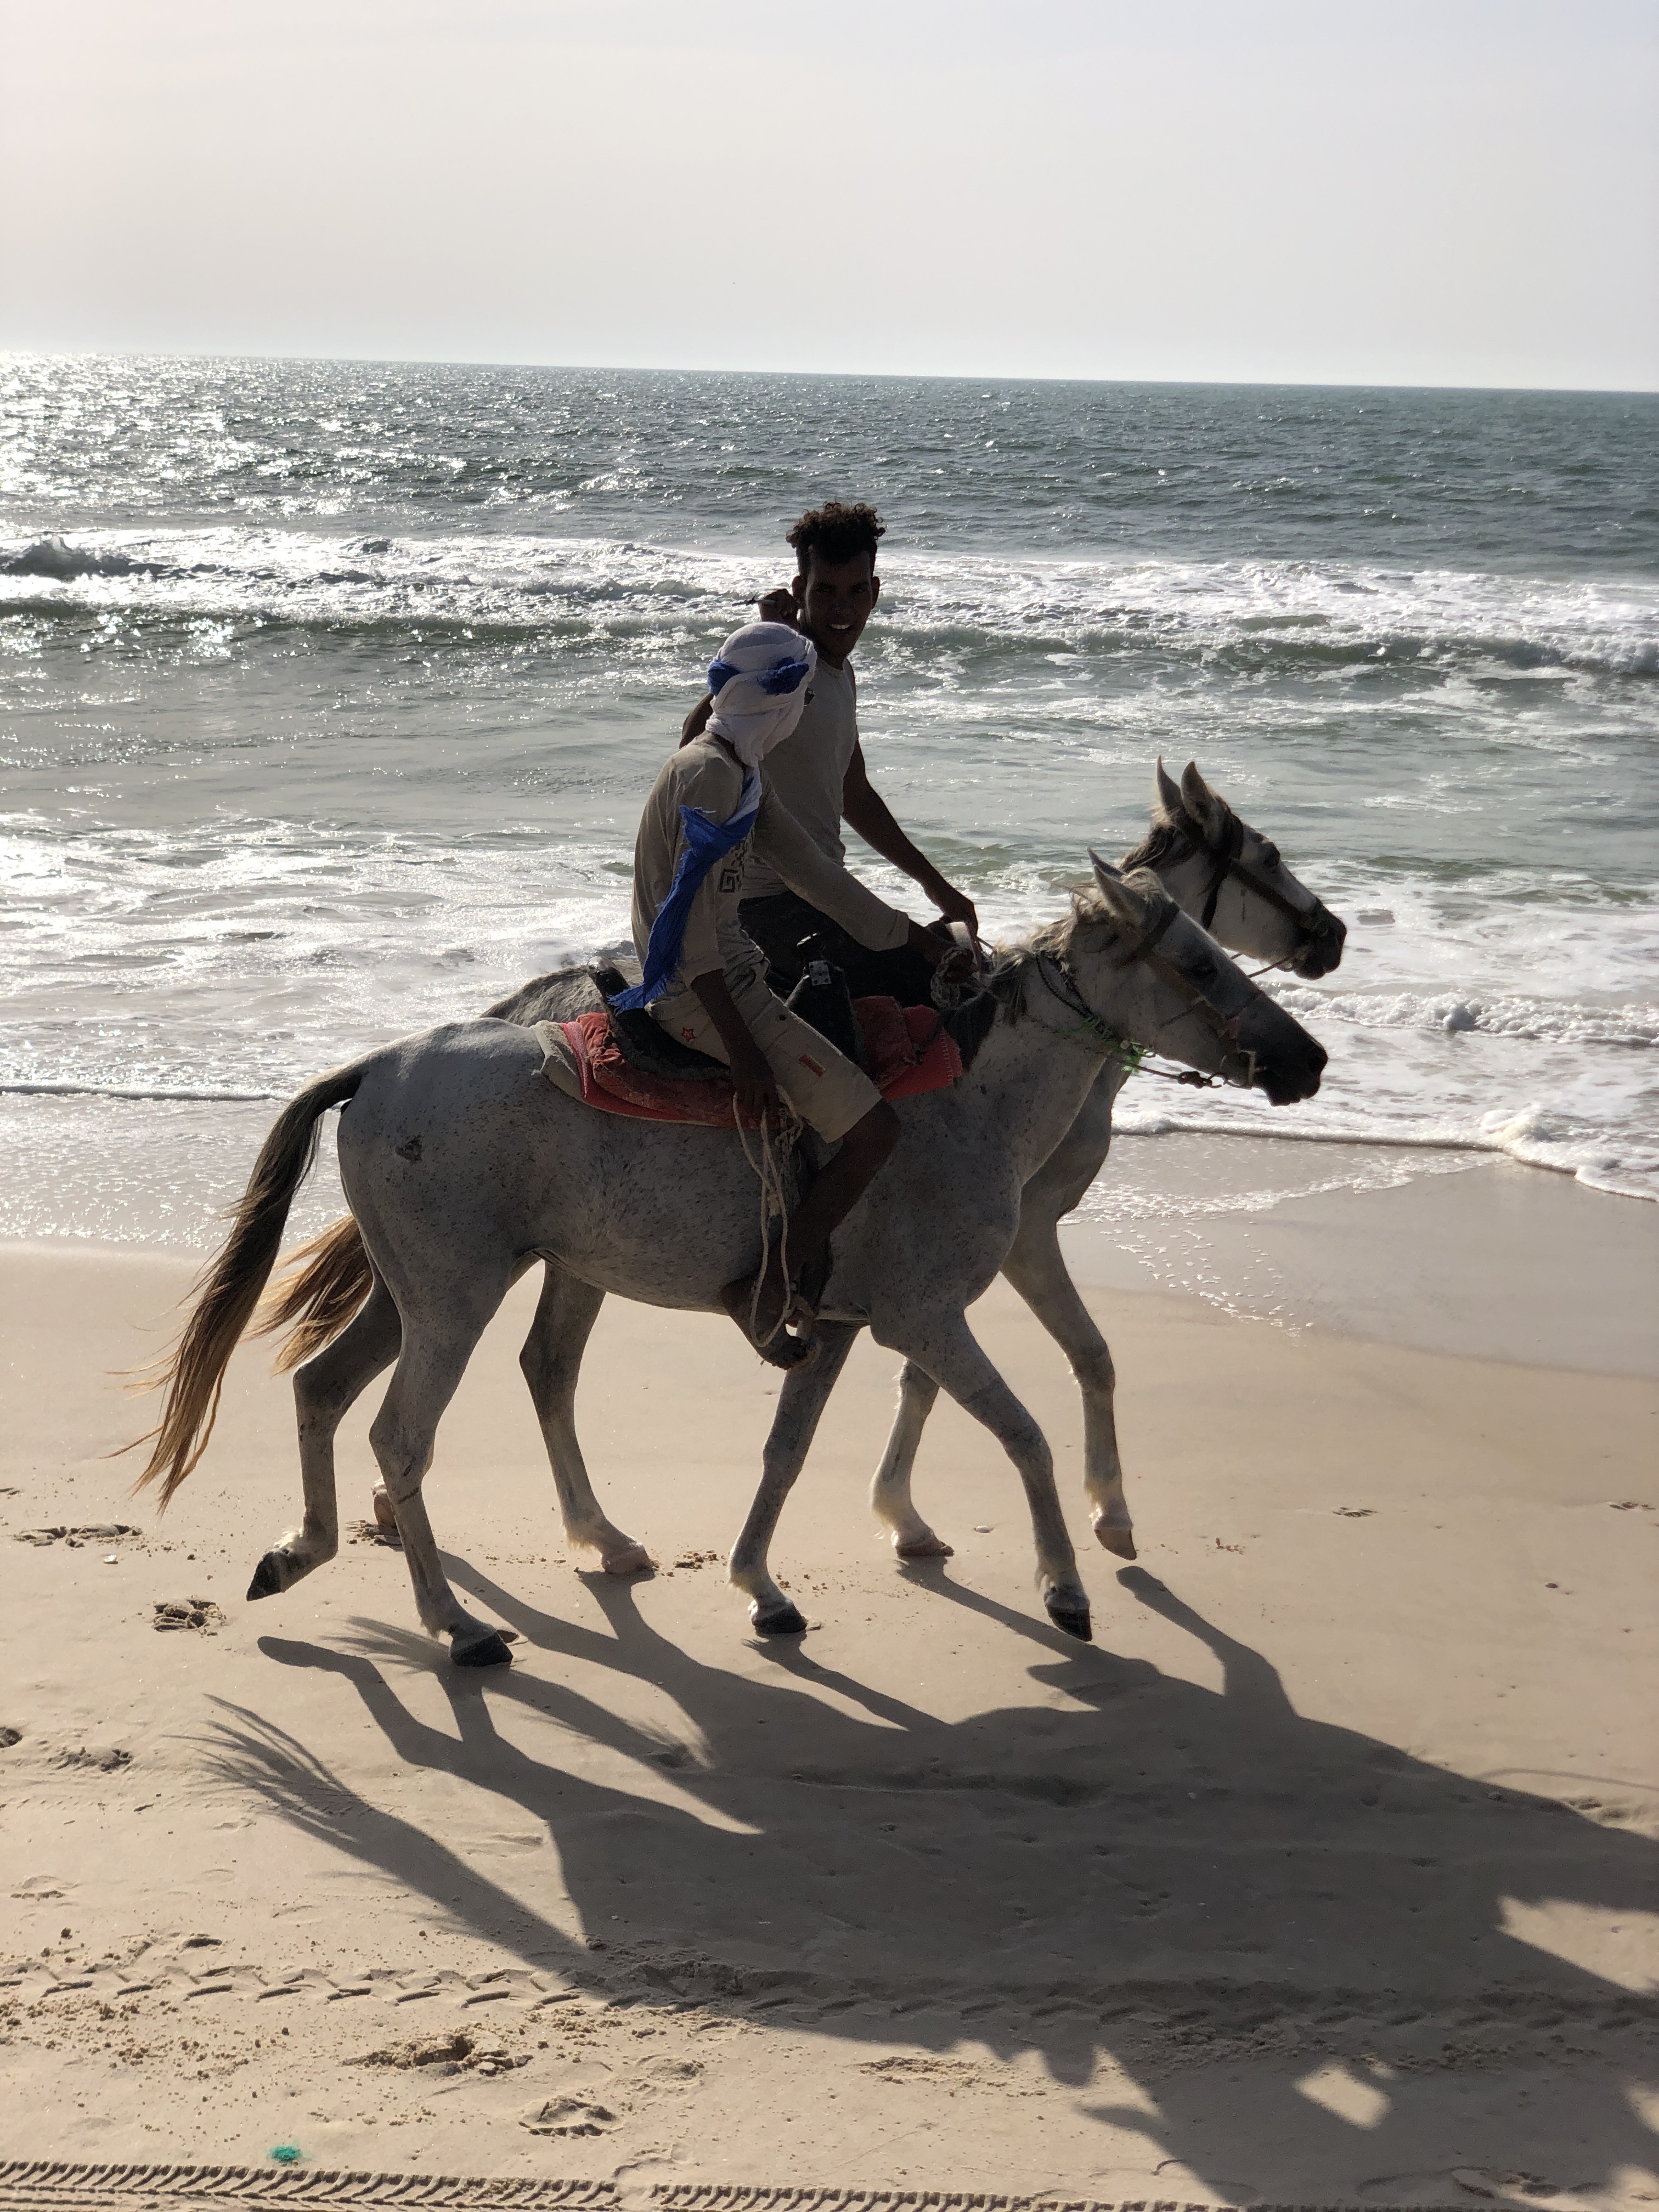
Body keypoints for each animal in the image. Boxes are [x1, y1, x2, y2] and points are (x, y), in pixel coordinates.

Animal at [132, 852, 1327, 1663]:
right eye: (1195, 959)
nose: (1304, 1057)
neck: (969, 1099)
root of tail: (378, 1066)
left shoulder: (836, 1321)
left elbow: (785, 1454)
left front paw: (762, 1586)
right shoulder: (927, 1316)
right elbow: (1025, 1435)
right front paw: (1066, 1588)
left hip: (418, 1292)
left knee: (325, 1390)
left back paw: (307, 1552)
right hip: (454, 1302)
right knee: (401, 1436)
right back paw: (455, 1624)